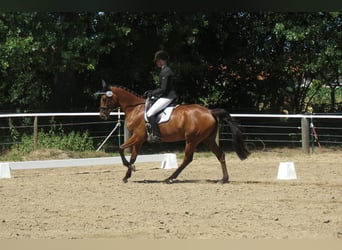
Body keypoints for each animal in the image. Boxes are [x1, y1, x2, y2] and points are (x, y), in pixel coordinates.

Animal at [97, 84, 250, 184]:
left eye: (104, 99)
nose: (102, 115)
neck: (135, 109)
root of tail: (210, 111)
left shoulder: (138, 136)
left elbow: (121, 148)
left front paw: (130, 168)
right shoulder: (139, 139)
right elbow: (133, 157)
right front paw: (127, 175)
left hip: (192, 139)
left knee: (187, 158)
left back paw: (169, 178)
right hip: (208, 139)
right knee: (220, 155)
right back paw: (223, 179)